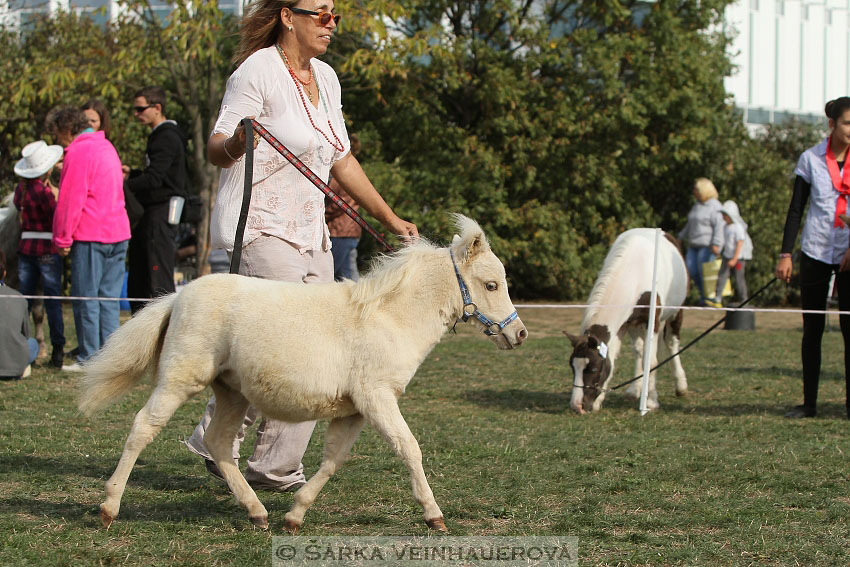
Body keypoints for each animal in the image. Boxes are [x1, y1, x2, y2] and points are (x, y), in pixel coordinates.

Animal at [78, 216, 524, 532]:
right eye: (490, 284)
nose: (518, 334)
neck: (389, 317)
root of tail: (180, 294)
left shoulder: (353, 410)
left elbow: (333, 459)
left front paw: (294, 517)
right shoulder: (377, 397)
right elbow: (408, 448)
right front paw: (435, 516)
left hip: (232, 392)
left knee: (219, 444)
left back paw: (258, 514)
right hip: (180, 378)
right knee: (144, 426)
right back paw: (108, 509)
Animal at [564, 229, 688, 414]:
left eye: (593, 368)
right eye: (572, 367)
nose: (577, 406)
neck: (634, 272)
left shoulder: (652, 323)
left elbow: (650, 361)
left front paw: (651, 401)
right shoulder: (622, 326)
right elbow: (616, 358)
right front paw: (599, 400)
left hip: (675, 313)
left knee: (672, 343)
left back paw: (681, 386)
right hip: (634, 325)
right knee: (639, 350)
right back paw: (635, 390)